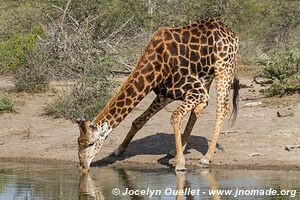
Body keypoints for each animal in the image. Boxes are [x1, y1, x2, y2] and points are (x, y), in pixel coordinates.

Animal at [77, 17, 239, 173]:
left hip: (224, 68)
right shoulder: (165, 94)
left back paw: (206, 157)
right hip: (206, 77)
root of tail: (232, 33)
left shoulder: (196, 90)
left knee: (222, 109)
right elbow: (138, 120)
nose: (82, 167)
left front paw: (180, 164)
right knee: (199, 109)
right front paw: (119, 150)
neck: (158, 65)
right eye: (78, 142)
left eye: (91, 143)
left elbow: (175, 116)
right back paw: (175, 150)